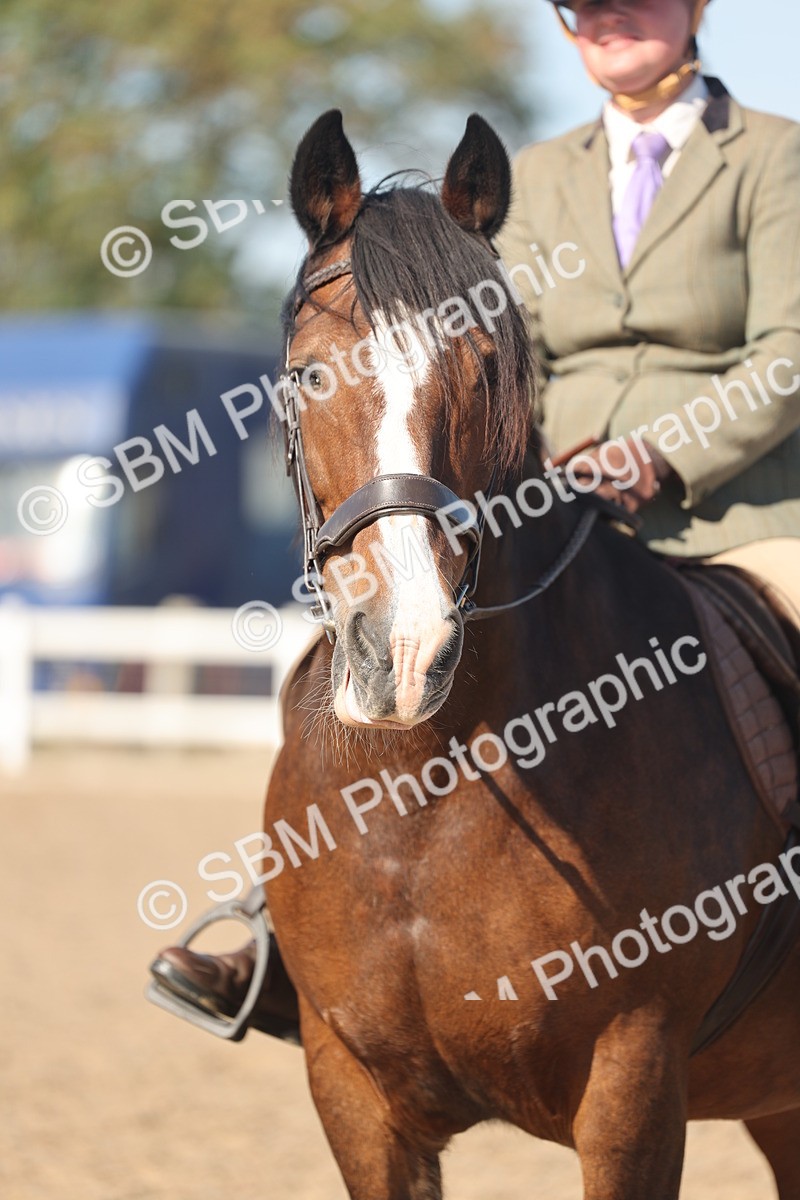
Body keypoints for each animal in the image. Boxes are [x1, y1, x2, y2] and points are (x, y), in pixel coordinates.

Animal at [260, 109, 800, 1199]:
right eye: (307, 374)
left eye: (487, 371)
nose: (403, 652)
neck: (421, 794)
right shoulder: (352, 1091)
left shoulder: (634, 1079)